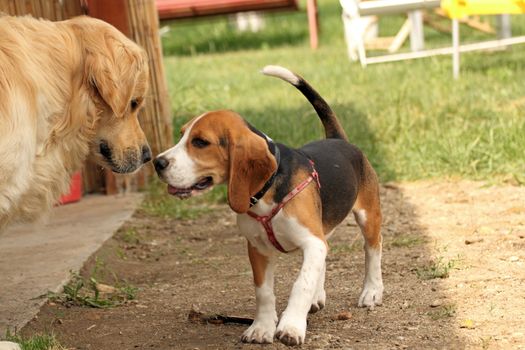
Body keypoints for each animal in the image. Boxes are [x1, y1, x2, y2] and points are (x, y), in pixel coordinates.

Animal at [154, 65, 382, 344]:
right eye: (181, 136)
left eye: (200, 142)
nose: (157, 163)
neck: (267, 188)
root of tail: (339, 139)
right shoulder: (258, 248)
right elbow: (263, 292)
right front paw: (262, 327)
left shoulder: (311, 241)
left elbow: (301, 283)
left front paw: (291, 326)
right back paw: (318, 297)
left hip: (368, 216)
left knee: (372, 250)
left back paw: (372, 291)